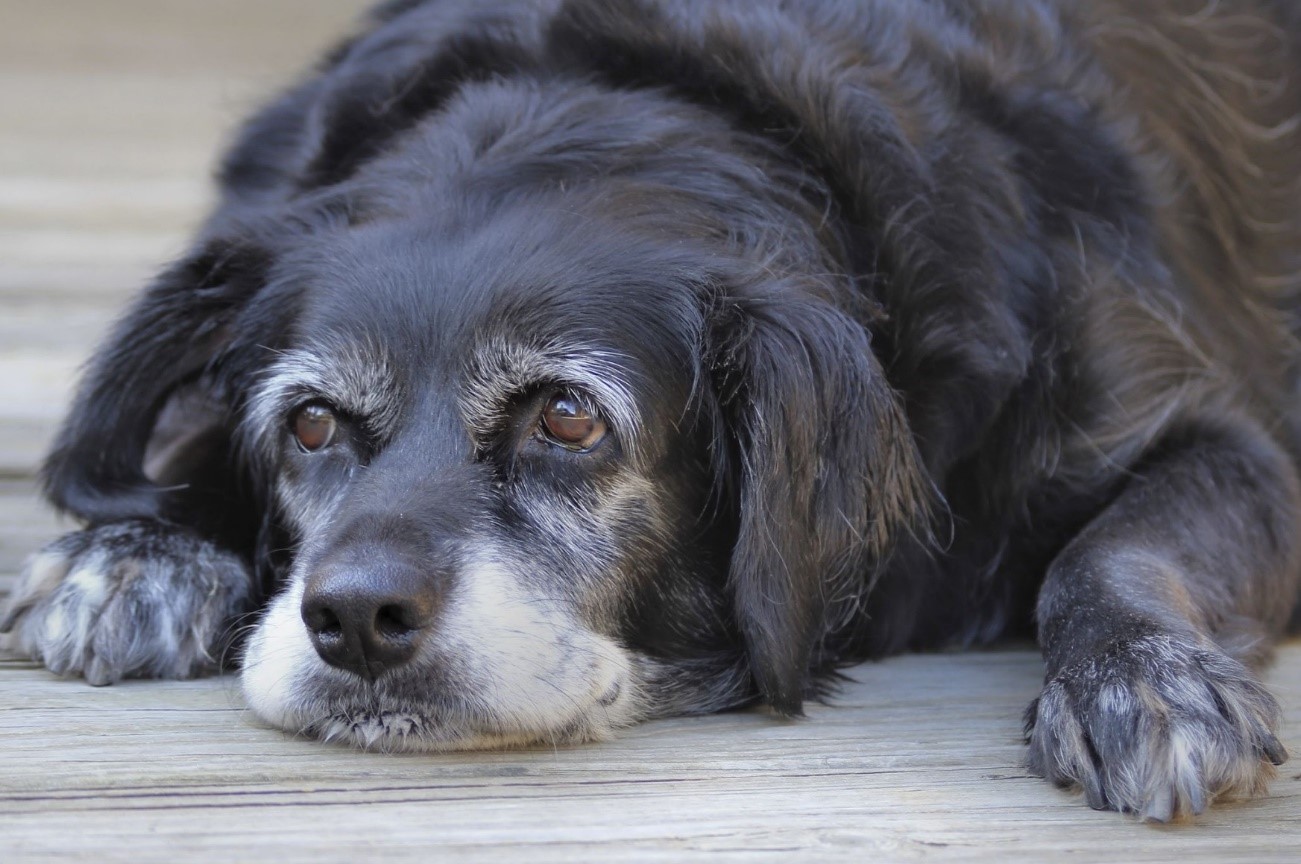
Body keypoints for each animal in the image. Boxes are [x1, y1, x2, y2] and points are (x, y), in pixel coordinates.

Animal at [2, 0, 1301, 822]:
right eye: (311, 424)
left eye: (567, 418)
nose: (355, 619)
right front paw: (142, 547)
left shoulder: (1225, 446)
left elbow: (1105, 550)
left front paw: (1139, 676)